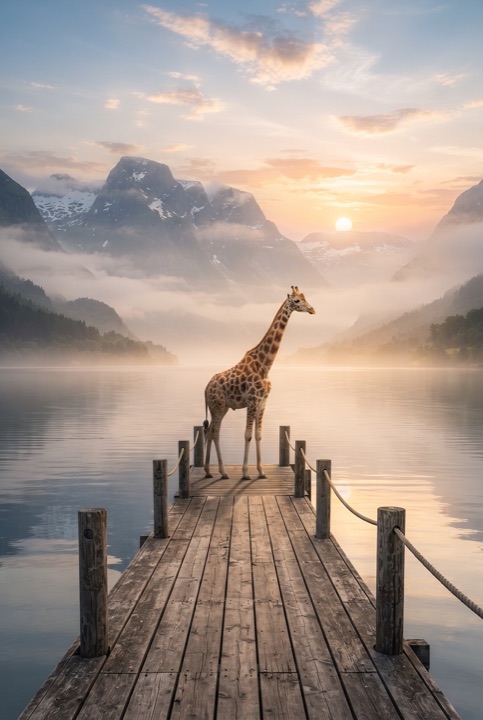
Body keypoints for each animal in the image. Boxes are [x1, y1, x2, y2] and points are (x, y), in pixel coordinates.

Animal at [204, 286, 316, 480]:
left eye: (305, 297)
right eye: (296, 301)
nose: (312, 309)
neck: (265, 365)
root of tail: (205, 388)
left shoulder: (263, 402)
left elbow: (258, 435)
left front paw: (261, 472)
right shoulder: (252, 401)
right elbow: (248, 435)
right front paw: (245, 473)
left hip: (221, 407)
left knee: (210, 432)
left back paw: (209, 471)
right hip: (217, 406)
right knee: (215, 432)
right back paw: (222, 472)